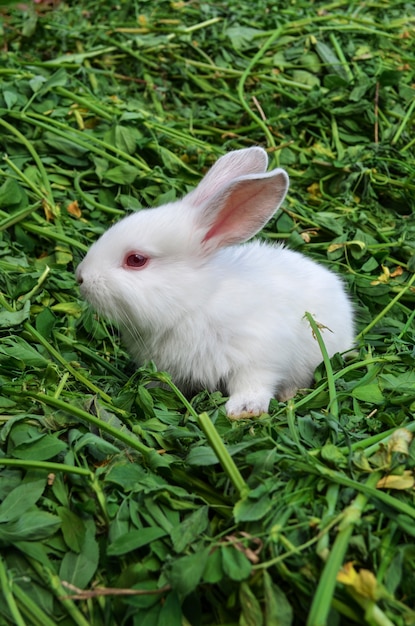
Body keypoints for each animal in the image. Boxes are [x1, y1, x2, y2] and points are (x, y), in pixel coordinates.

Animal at [75, 147, 354, 416]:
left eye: (136, 259)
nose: (81, 277)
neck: (195, 303)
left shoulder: (259, 355)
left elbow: (253, 383)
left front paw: (243, 410)